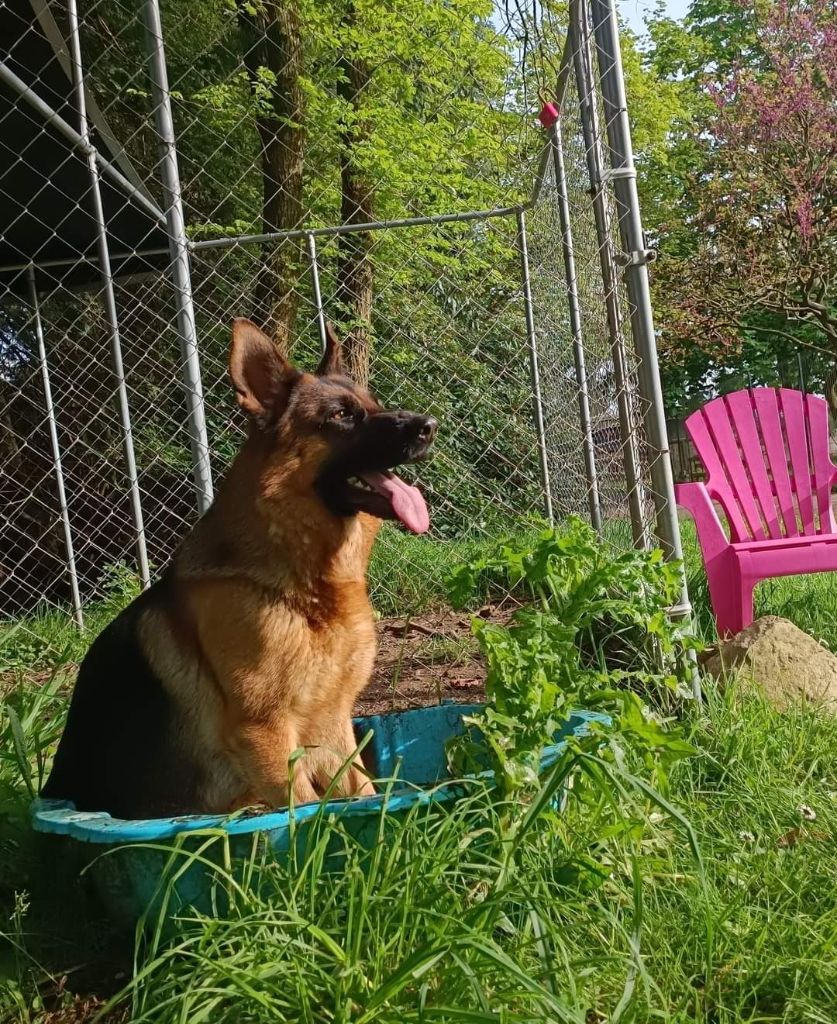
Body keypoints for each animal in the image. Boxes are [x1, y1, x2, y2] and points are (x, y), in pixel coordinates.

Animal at [41, 317, 438, 815]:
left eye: (375, 406)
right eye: (342, 416)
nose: (430, 426)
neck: (306, 587)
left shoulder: (332, 730)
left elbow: (360, 794)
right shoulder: (265, 735)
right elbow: (308, 814)